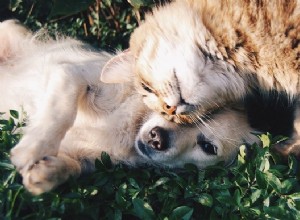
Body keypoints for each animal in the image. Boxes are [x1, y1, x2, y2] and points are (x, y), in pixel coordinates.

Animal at [1, 20, 256, 194]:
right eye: (169, 108)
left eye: (208, 147)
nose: (157, 138)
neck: (130, 128)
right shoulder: (71, 73)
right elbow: (61, 111)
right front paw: (33, 148)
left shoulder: (87, 158)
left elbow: (74, 167)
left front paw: (46, 172)